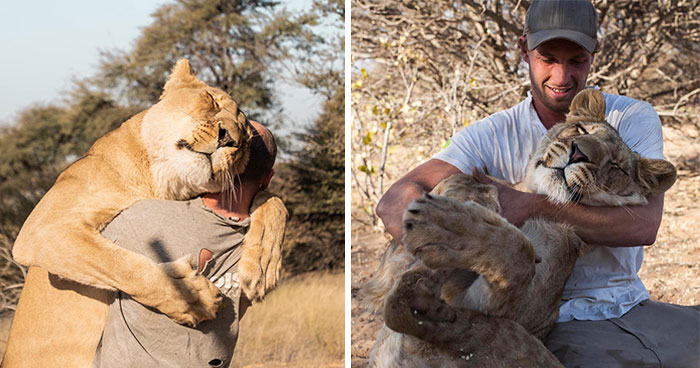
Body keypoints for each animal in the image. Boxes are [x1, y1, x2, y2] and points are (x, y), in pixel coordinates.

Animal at [3, 59, 288, 366]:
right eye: (211, 100)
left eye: (245, 142)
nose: (229, 139)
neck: (161, 183)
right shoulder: (42, 228)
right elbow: (120, 263)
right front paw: (193, 297)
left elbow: (274, 199)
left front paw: (262, 266)